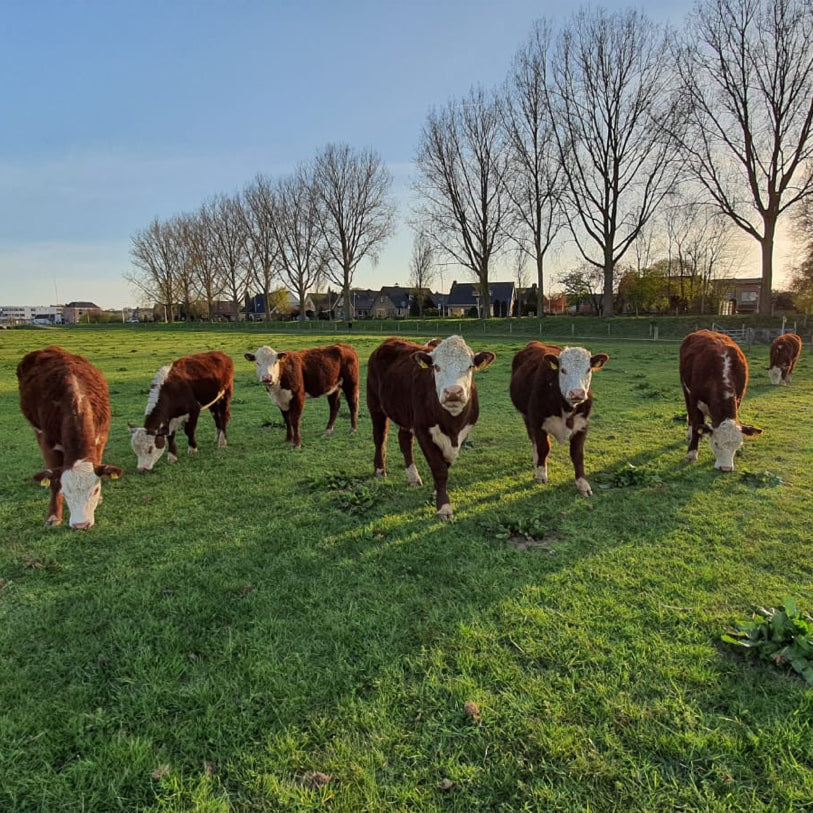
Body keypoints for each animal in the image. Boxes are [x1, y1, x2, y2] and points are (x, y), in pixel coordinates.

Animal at [17, 342, 123, 528]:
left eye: (95, 489)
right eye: (65, 491)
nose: (81, 525)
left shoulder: (101, 437)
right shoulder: (48, 442)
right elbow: (53, 480)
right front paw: (53, 516)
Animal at [366, 334, 494, 520]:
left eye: (470, 366)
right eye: (436, 367)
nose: (453, 392)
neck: (452, 425)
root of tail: (391, 340)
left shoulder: (464, 432)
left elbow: (445, 464)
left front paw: (437, 491)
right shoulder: (423, 431)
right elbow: (439, 468)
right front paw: (444, 507)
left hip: (404, 412)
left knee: (404, 441)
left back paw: (413, 477)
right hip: (375, 404)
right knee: (379, 437)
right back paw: (380, 470)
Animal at [510, 340, 604, 494]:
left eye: (588, 370)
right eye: (563, 370)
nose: (577, 393)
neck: (566, 408)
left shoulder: (582, 425)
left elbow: (577, 454)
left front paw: (583, 484)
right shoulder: (538, 421)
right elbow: (544, 448)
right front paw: (541, 474)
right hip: (526, 417)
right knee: (533, 438)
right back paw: (536, 458)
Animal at [680, 328, 760, 470]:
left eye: (738, 445)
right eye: (716, 443)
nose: (726, 468)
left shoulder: (739, 398)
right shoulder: (694, 399)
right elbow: (696, 426)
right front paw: (691, 454)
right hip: (685, 389)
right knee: (691, 415)